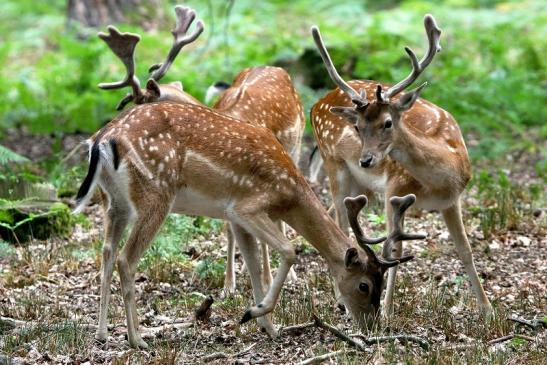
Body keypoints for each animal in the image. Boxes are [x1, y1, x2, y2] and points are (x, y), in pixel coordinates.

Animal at [97, 6, 306, 296]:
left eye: (142, 103)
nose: (118, 126)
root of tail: (273, 66)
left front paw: (265, 279)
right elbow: (230, 227)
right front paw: (229, 286)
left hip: (296, 147)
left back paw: (291, 275)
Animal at [310, 15, 494, 314]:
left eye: (387, 122)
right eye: (358, 127)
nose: (366, 159)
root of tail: (317, 103)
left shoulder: (452, 200)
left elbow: (465, 249)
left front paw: (488, 310)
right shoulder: (394, 188)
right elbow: (394, 250)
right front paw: (387, 309)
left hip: (359, 183)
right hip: (333, 162)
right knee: (340, 221)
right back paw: (339, 298)